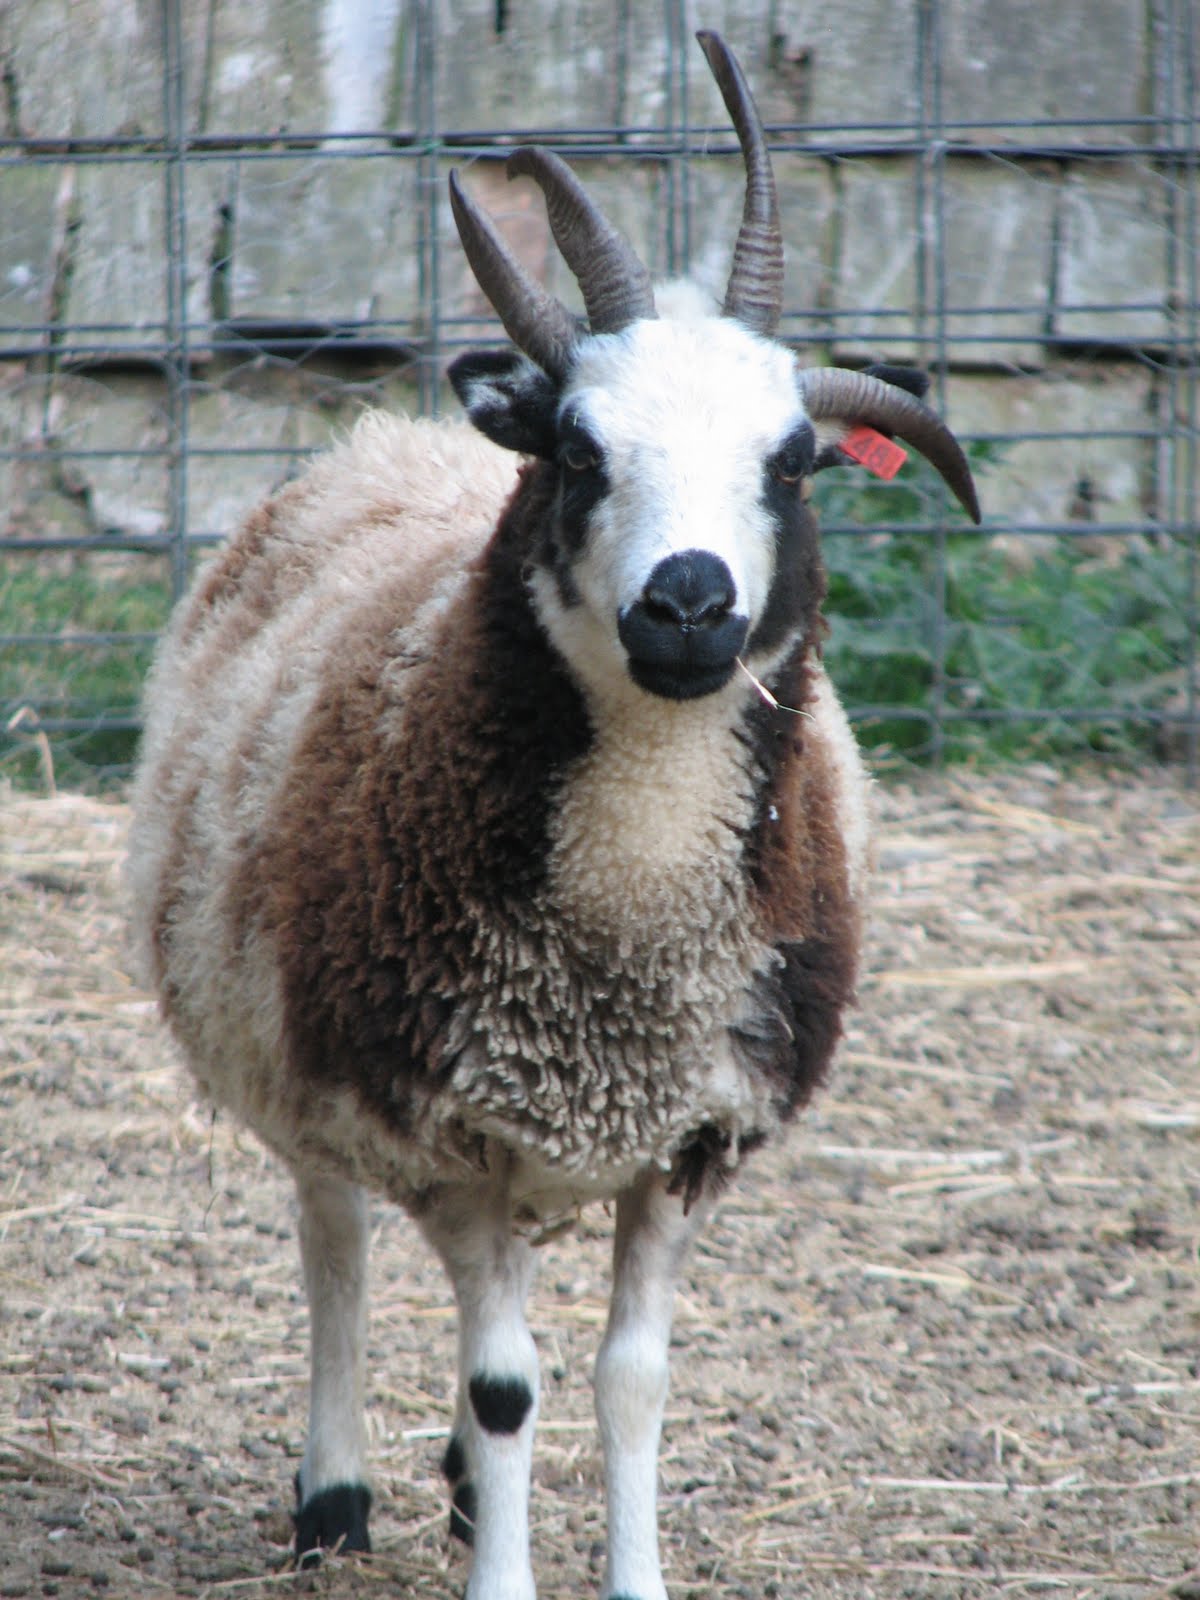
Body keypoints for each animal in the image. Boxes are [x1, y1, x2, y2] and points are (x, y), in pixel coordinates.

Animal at [127, 30, 980, 1600]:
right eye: (581, 449)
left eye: (793, 460)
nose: (691, 603)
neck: (627, 929)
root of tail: (396, 431)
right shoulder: (448, 1128)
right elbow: (507, 1383)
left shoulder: (688, 1139)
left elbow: (627, 1381)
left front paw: (623, 1572)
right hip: (292, 1048)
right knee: (335, 1247)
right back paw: (334, 1495)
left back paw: (465, 1491)